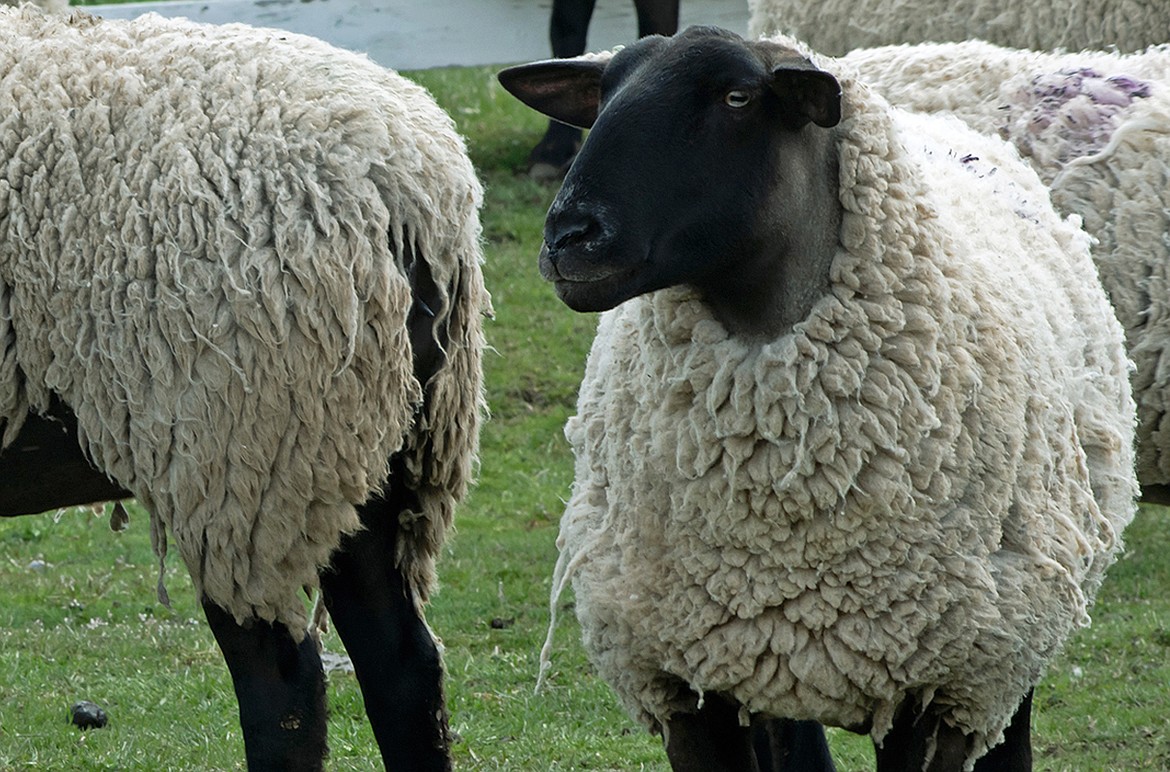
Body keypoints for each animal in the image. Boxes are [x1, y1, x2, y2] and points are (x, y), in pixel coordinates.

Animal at [498, 24, 1137, 772]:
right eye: (601, 95)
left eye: (738, 97)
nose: (570, 239)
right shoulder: (687, 678)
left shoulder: (941, 682)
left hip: (1013, 641)